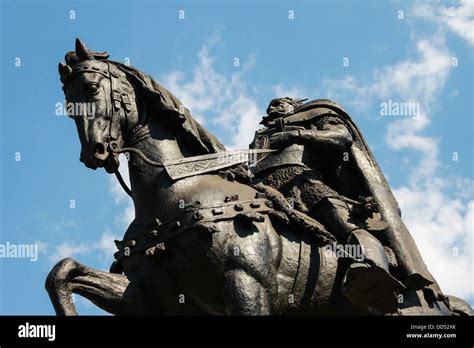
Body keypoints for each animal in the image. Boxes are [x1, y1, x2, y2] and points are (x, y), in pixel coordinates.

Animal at [45, 39, 466, 316]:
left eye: (93, 88)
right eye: (67, 104)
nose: (95, 153)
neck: (179, 192)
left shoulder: (248, 285)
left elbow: (332, 133)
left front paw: (283, 133)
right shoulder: (147, 297)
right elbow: (62, 273)